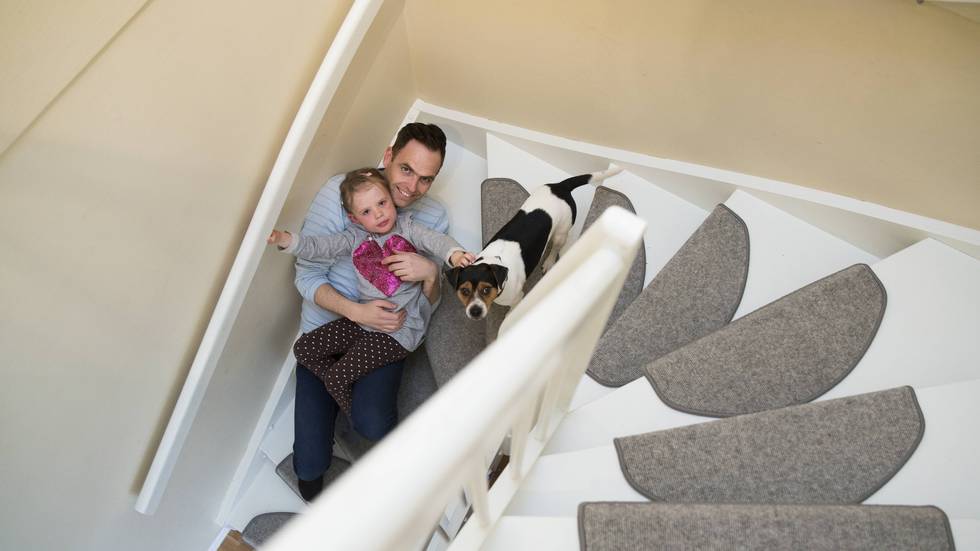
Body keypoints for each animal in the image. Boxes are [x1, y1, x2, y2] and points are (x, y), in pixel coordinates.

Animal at [446, 167, 622, 320]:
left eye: (486, 289)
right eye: (464, 291)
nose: (475, 311)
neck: (495, 259)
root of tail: (561, 186)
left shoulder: (518, 297)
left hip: (561, 232)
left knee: (555, 247)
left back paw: (549, 262)